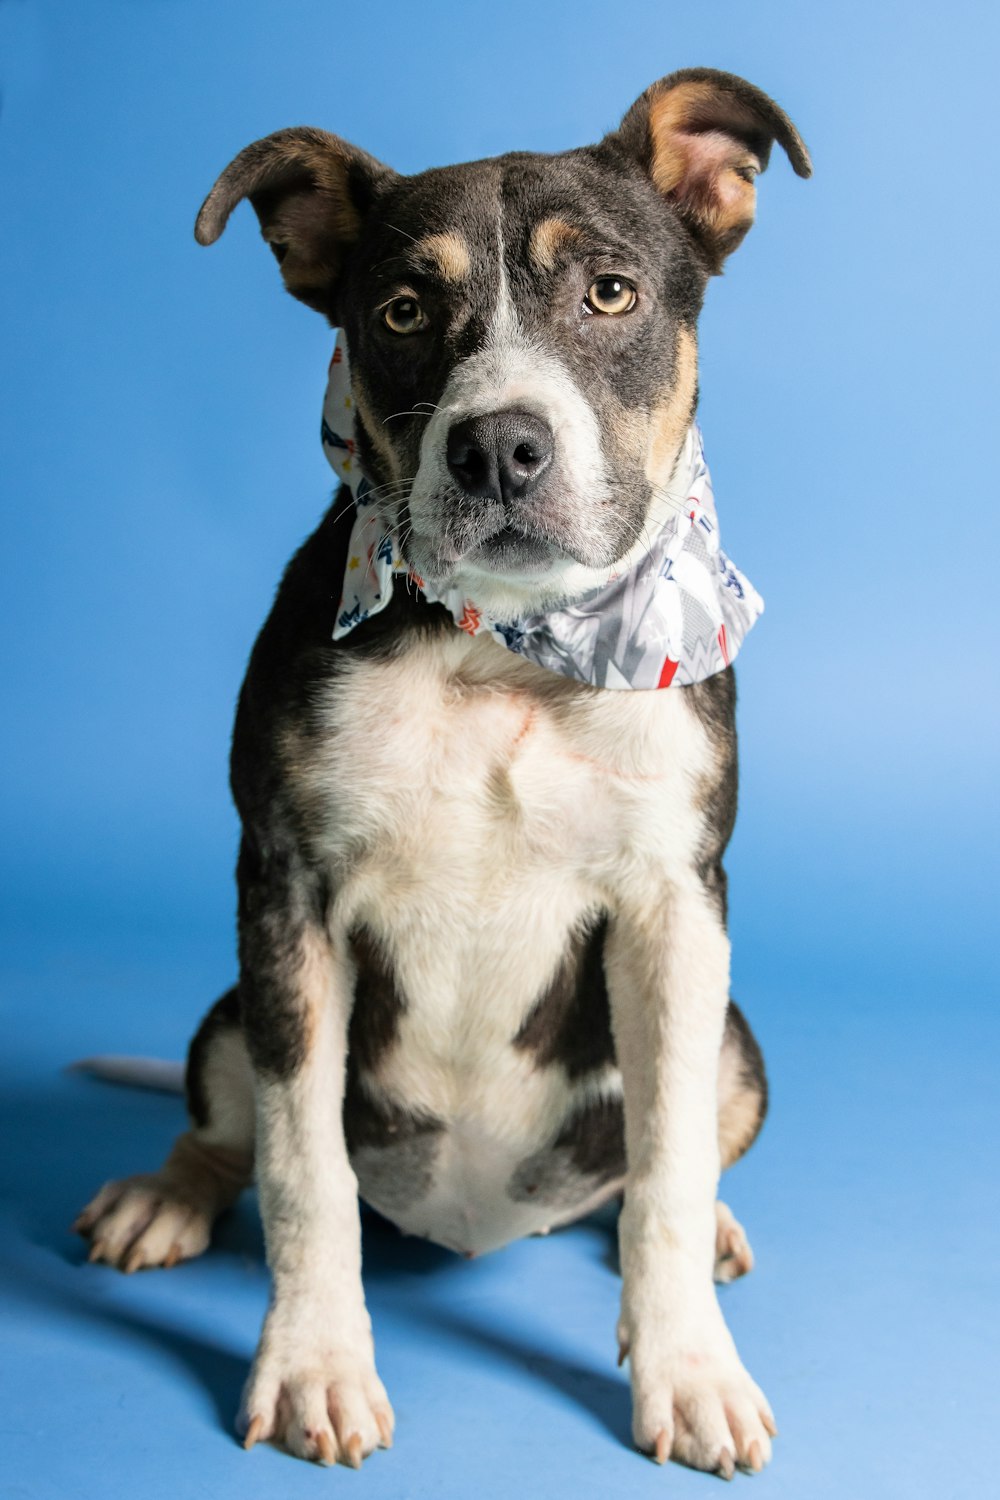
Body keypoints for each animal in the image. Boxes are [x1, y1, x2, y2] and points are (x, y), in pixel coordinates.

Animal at [76, 67, 815, 1476]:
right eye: (403, 312)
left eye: (610, 293)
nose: (497, 448)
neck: (502, 650)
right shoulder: (288, 898)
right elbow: (302, 1168)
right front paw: (315, 1365)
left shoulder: (674, 910)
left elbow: (668, 1169)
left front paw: (688, 1366)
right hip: (230, 1010)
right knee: (224, 1127)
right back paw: (165, 1197)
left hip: (739, 1039)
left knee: (670, 1153)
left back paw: (715, 1235)